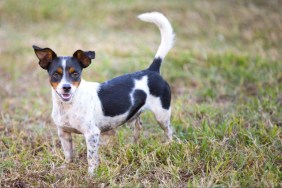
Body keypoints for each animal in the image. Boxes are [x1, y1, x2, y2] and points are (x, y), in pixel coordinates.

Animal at [32, 11, 174, 174]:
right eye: (55, 74)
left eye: (75, 74)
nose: (66, 87)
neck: (68, 105)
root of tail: (152, 70)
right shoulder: (63, 132)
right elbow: (68, 153)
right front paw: (66, 167)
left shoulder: (92, 134)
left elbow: (91, 157)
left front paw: (91, 174)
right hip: (133, 117)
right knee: (138, 128)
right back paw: (133, 147)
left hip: (162, 115)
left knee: (169, 132)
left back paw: (169, 146)